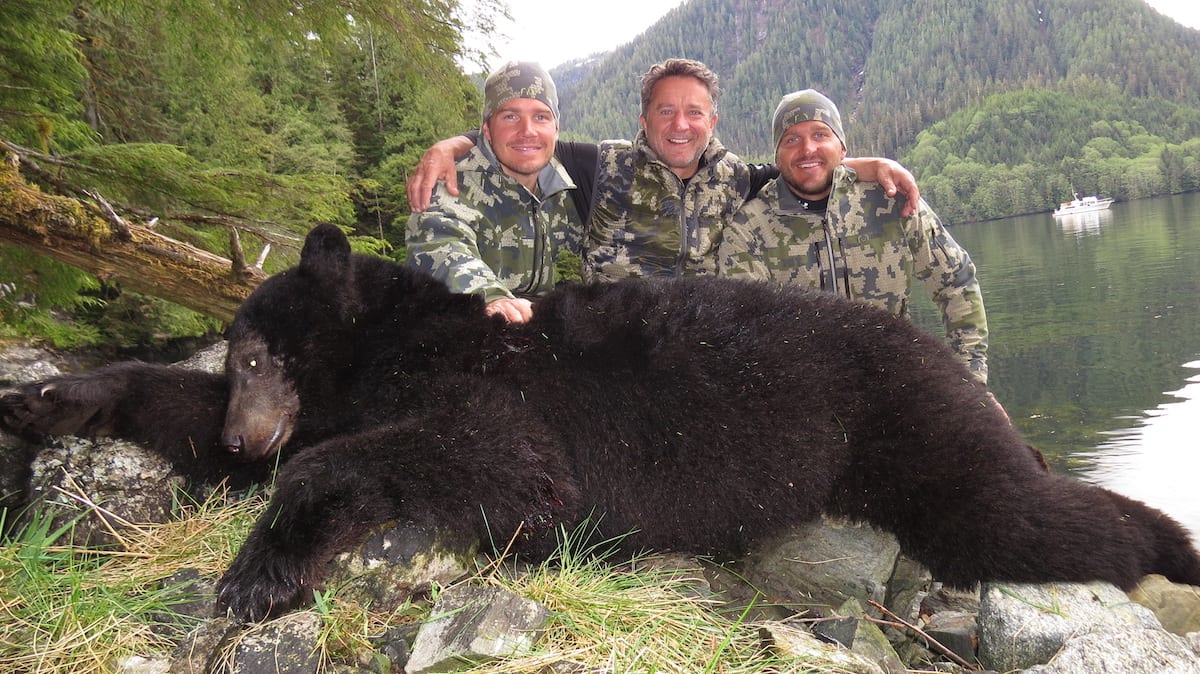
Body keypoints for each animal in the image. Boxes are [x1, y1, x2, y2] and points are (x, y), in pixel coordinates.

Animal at [2, 224, 1200, 618]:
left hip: (909, 417)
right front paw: (43, 396)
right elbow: (184, 404)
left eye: (262, 354)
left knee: (1009, 512)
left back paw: (1170, 542)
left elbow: (507, 463)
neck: (387, 340)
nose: (249, 436)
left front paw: (260, 568)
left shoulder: (487, 388)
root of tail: (949, 357)